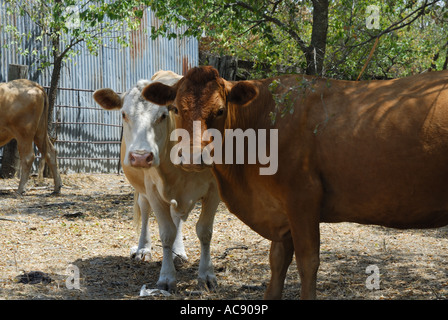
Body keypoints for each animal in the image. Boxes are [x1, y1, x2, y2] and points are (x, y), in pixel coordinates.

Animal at [93, 71, 220, 292]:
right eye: (124, 114)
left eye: (163, 115)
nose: (141, 157)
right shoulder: (153, 190)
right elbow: (166, 232)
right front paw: (167, 277)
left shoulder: (213, 190)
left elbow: (204, 232)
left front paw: (206, 275)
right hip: (144, 190)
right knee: (145, 210)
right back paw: (143, 248)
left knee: (176, 217)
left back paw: (179, 253)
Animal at [143, 65, 448, 300]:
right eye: (174, 108)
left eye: (219, 111)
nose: (192, 155)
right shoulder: (279, 212)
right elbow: (277, 261)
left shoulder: (303, 199)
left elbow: (307, 261)